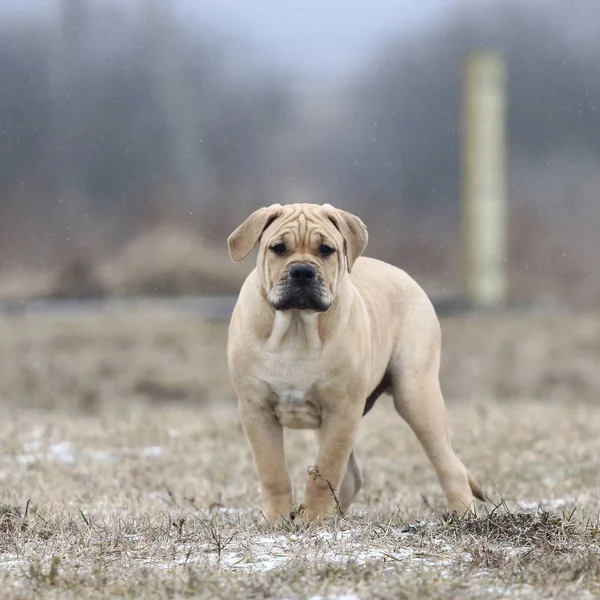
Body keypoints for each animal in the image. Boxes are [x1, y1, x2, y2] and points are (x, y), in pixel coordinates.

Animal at [225, 204, 482, 524]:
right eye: (278, 249)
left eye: (326, 250)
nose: (302, 271)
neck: (297, 327)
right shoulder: (256, 410)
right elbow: (273, 471)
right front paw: (278, 519)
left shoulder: (342, 410)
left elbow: (325, 470)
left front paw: (314, 519)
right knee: (351, 478)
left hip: (417, 396)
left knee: (450, 465)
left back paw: (466, 519)